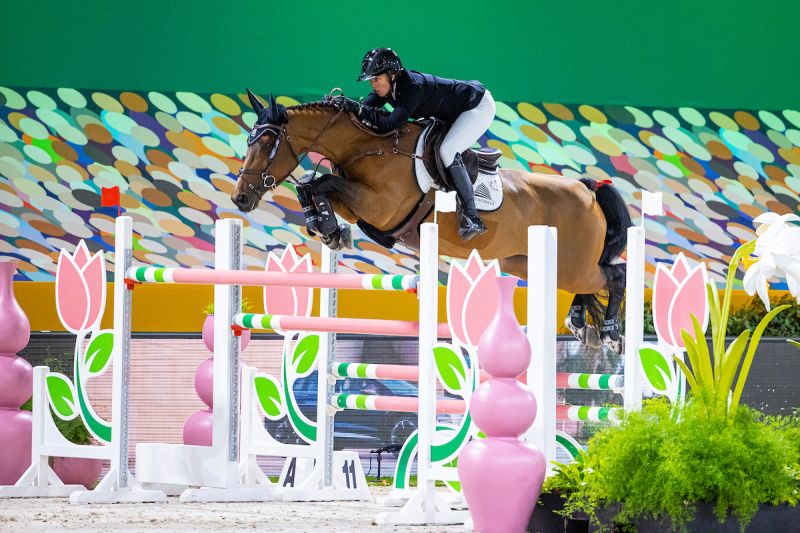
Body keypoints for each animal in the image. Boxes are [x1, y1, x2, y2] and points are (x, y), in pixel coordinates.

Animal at [230, 90, 632, 352]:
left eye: (266, 144)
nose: (240, 198)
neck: (369, 146)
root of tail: (586, 188)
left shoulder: (380, 206)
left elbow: (324, 182)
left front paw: (328, 228)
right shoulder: (360, 205)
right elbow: (313, 187)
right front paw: (328, 228)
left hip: (571, 263)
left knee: (615, 275)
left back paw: (610, 334)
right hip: (528, 262)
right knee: (592, 279)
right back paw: (579, 324)